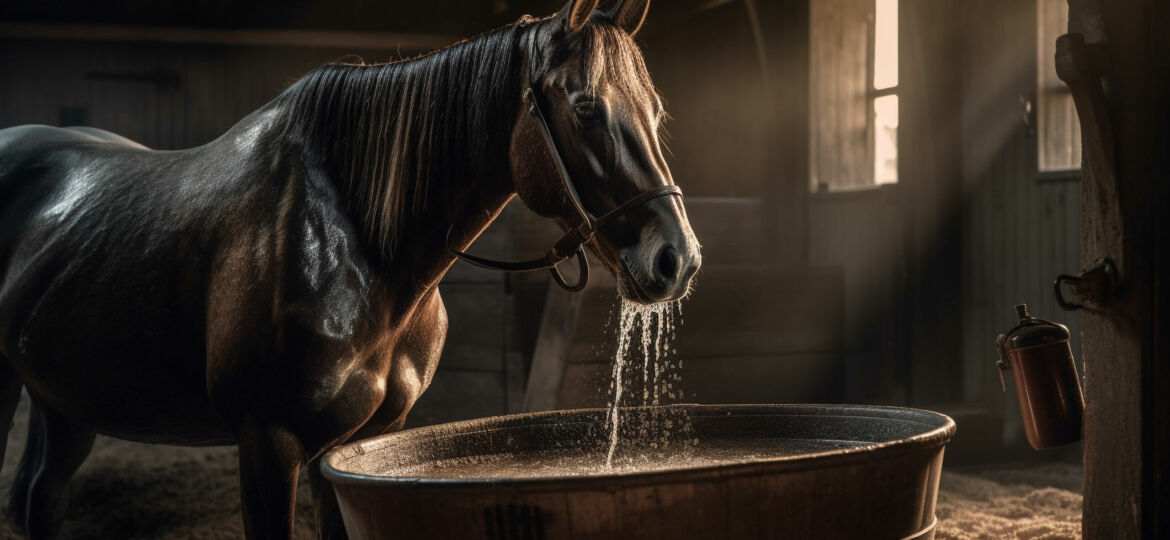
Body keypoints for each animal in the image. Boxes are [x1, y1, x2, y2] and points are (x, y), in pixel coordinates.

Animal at [0, 0, 697, 535]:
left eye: (655, 111)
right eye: (585, 107)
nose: (677, 259)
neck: (360, 248)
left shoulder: (351, 447)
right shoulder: (267, 442)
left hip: (64, 401)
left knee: (43, 497)